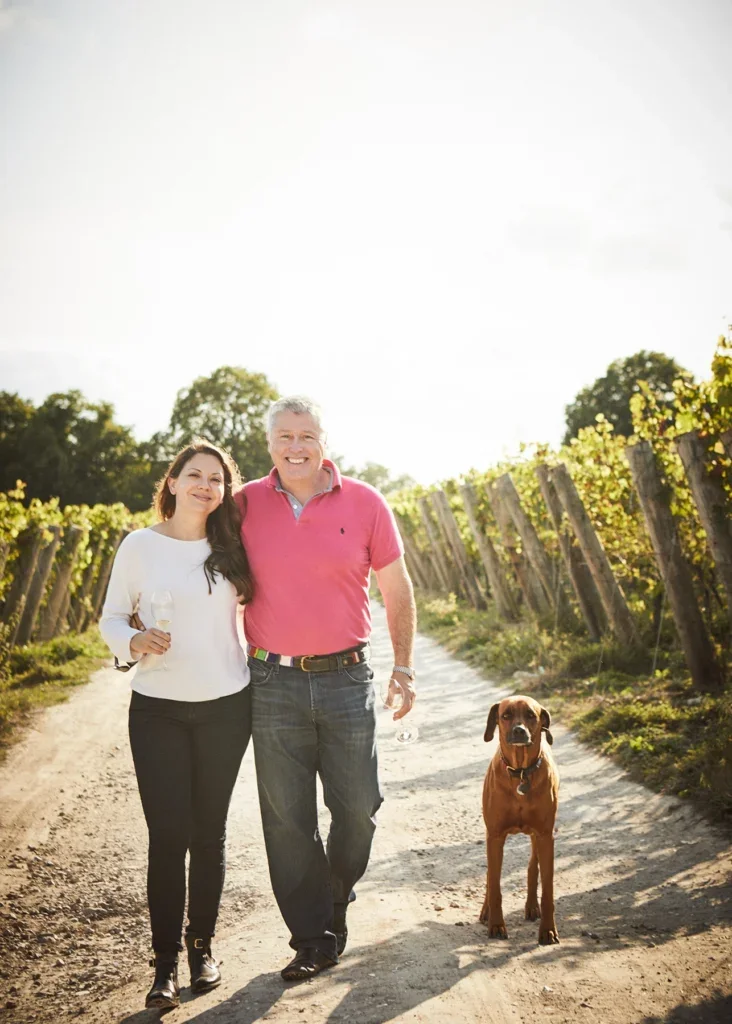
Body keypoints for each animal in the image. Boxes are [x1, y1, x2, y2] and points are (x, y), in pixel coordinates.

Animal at [481, 696, 561, 942]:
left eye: (531, 715)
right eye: (505, 715)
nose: (519, 731)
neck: (521, 772)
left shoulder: (545, 835)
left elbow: (548, 890)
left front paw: (548, 930)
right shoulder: (495, 836)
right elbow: (495, 885)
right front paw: (497, 925)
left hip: (538, 836)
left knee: (532, 866)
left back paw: (532, 906)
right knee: (490, 875)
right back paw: (486, 911)